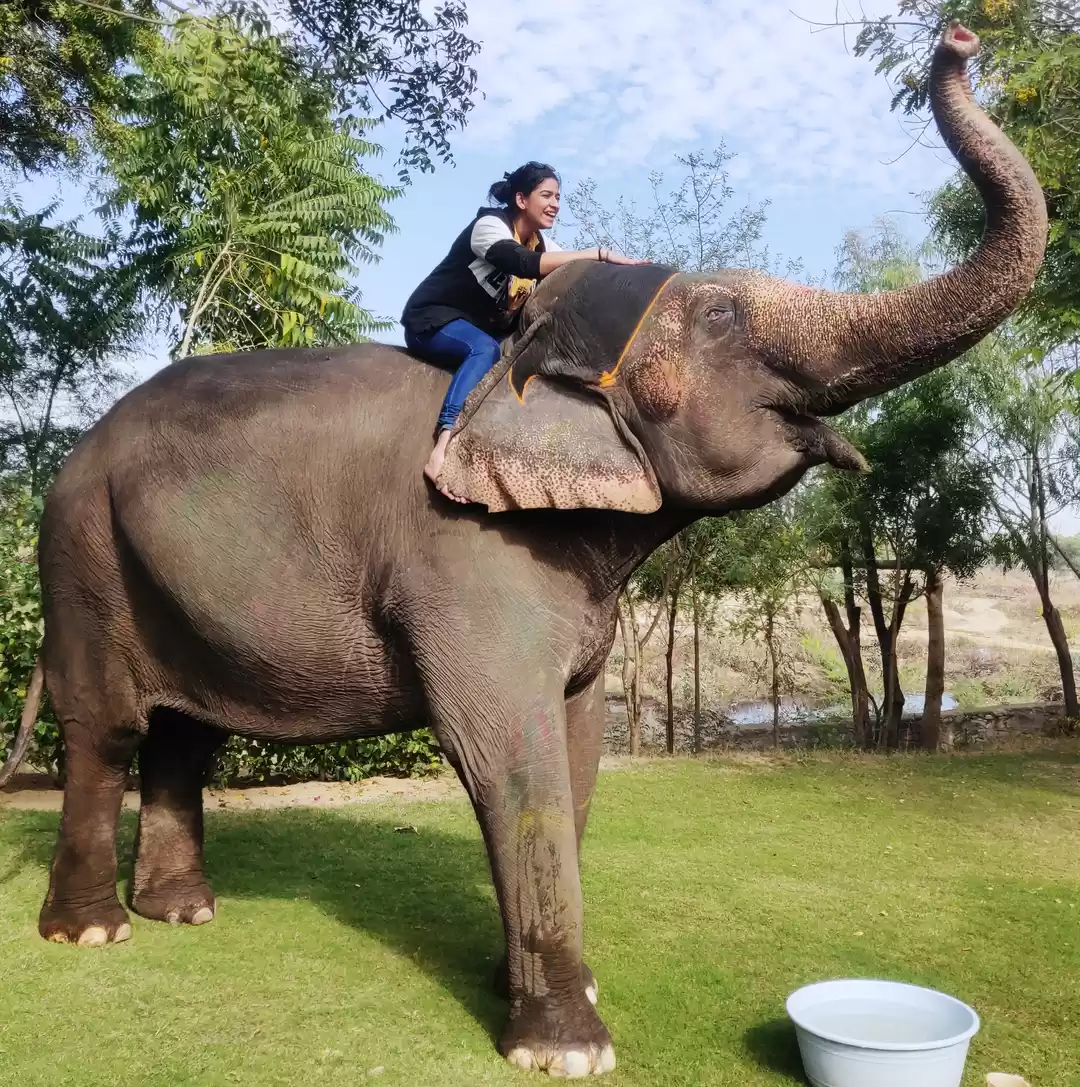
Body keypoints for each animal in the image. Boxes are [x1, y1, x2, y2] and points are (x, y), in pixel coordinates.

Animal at [0, 21, 1046, 1079]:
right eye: (720, 317)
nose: (960, 38)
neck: (522, 356)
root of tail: (75, 453)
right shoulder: (468, 557)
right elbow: (510, 751)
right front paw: (568, 1049)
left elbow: (576, 749)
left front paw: (547, 987)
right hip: (83, 549)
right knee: (110, 728)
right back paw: (94, 931)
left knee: (187, 732)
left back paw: (182, 913)